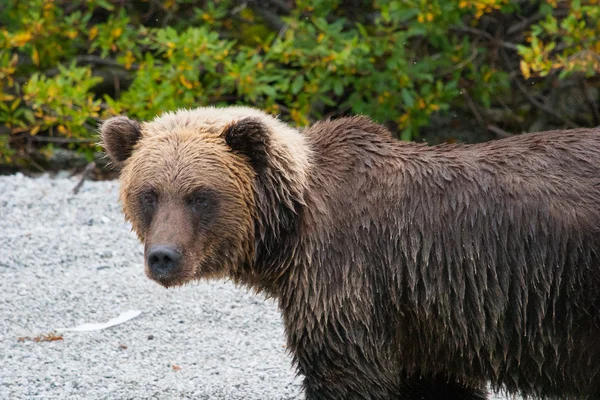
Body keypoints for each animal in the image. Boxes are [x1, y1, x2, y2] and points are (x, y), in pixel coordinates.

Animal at [101, 107, 600, 400]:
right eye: (149, 193)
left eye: (200, 196)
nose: (163, 256)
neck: (288, 233)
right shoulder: (424, 318)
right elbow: (436, 382)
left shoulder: (350, 275)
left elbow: (344, 371)